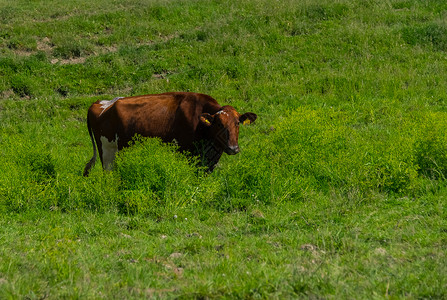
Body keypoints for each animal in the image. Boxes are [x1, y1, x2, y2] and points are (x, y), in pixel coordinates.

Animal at [83, 92, 258, 176]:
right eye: (219, 124)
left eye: (237, 123)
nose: (233, 148)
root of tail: (99, 103)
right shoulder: (185, 151)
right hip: (107, 150)